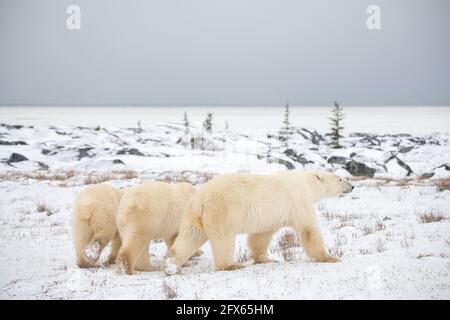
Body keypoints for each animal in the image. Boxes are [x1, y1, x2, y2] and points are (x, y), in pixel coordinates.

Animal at [163, 170, 354, 276]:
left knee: (189, 237)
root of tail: (201, 198)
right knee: (224, 238)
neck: (306, 183)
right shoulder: (299, 201)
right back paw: (231, 265)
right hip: (223, 210)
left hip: (193, 215)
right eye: (339, 178)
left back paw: (172, 265)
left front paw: (266, 259)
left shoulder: (272, 215)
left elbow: (261, 235)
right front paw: (330, 257)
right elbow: (308, 229)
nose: (352, 186)